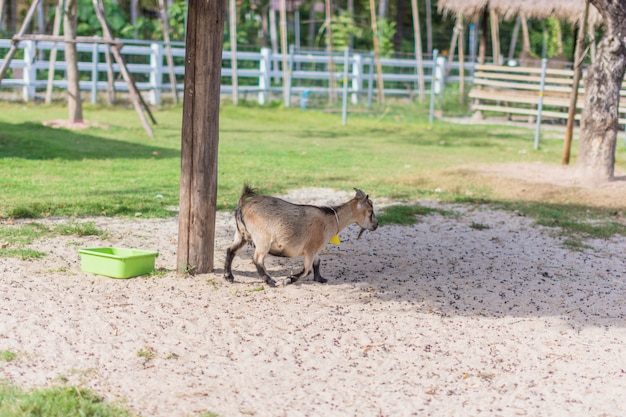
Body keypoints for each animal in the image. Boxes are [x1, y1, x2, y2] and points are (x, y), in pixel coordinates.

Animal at [225, 185, 380, 286]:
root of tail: (243, 206)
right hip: (263, 239)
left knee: (230, 250)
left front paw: (320, 278)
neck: (331, 220)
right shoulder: (310, 248)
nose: (376, 225)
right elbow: (306, 270)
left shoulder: (315, 250)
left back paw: (229, 276)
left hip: (241, 235)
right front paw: (288, 280)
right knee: (257, 259)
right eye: (370, 211)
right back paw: (269, 281)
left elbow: (317, 262)